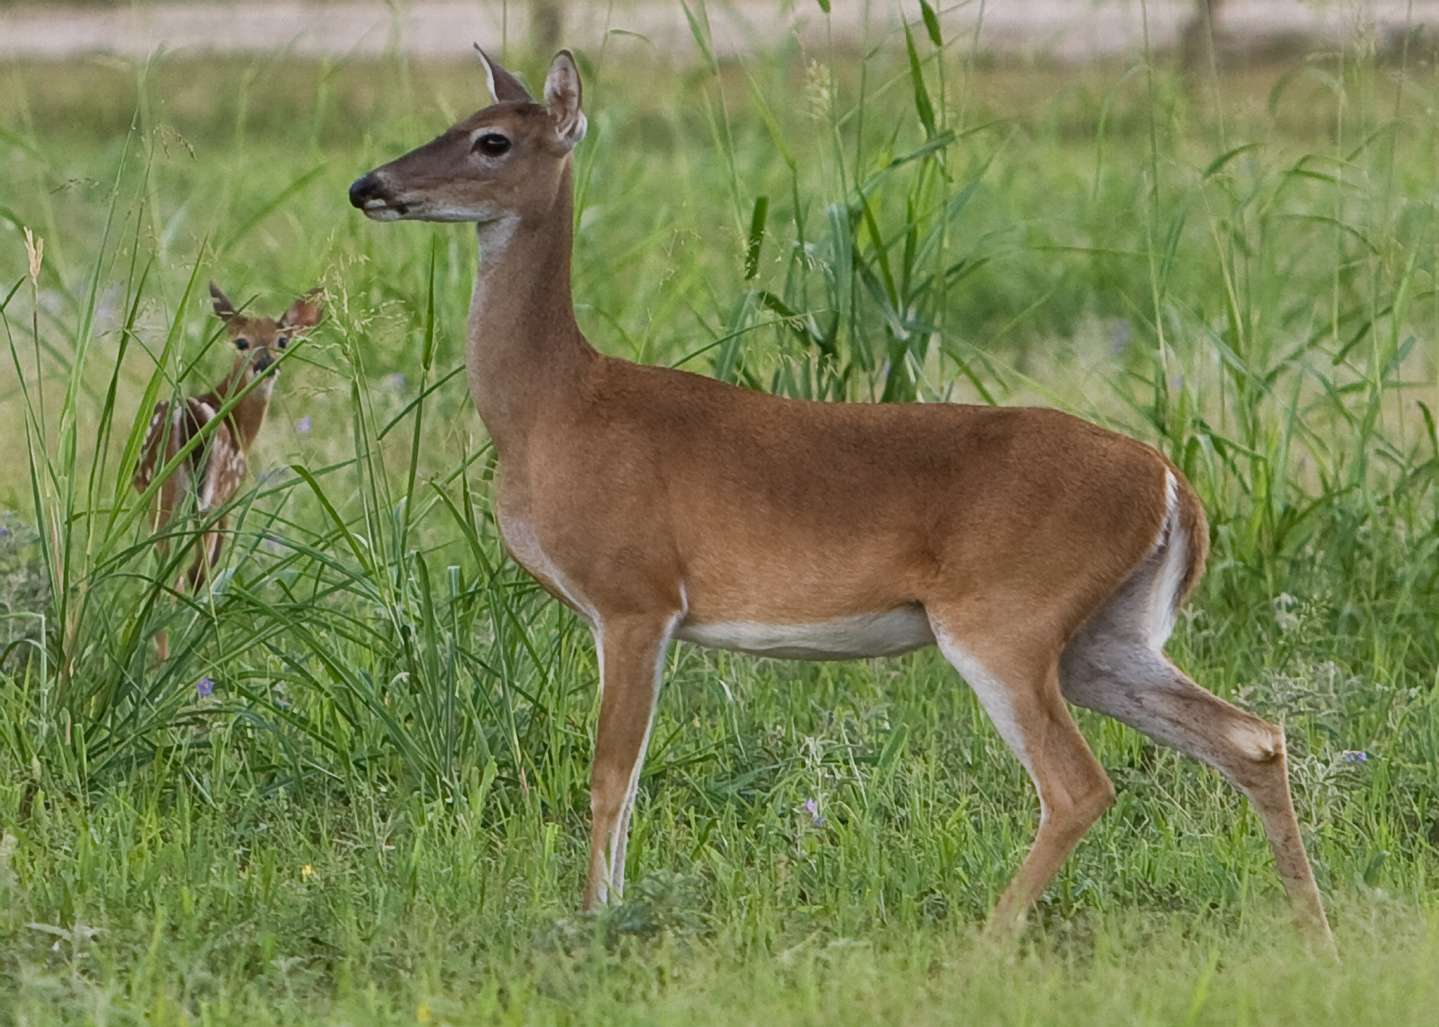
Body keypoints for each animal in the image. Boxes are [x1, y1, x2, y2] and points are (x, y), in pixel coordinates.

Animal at [133, 280, 322, 655]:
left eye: (282, 341)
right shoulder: (230, 495)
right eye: (241, 342)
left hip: (160, 495)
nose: (265, 364)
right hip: (206, 498)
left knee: (162, 575)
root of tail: (188, 416)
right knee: (190, 574)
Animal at [348, 48, 1335, 943]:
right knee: (1250, 736)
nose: (368, 185)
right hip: (1103, 635)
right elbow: (620, 777)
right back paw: (1312, 929)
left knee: (1079, 783)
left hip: (1005, 617)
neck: (553, 407)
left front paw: (595, 921)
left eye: (492, 140)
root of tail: (1171, 483)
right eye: (455, 119)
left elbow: (609, 775)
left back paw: (986, 942)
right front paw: (608, 911)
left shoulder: (635, 596)